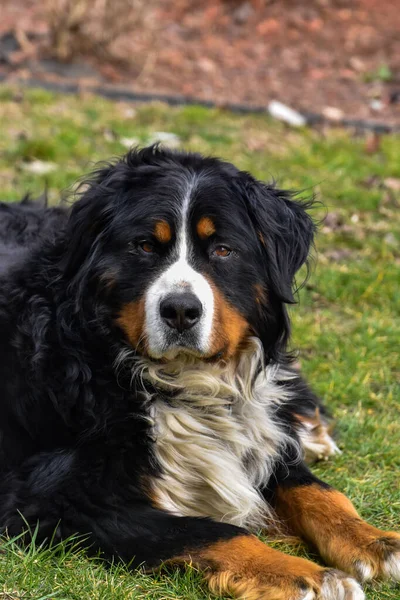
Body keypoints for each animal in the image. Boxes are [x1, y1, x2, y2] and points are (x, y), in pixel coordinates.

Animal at [0, 146, 398, 600]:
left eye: (223, 250)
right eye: (144, 246)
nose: (180, 311)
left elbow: (317, 490)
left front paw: (375, 541)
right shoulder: (52, 498)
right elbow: (213, 531)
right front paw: (307, 576)